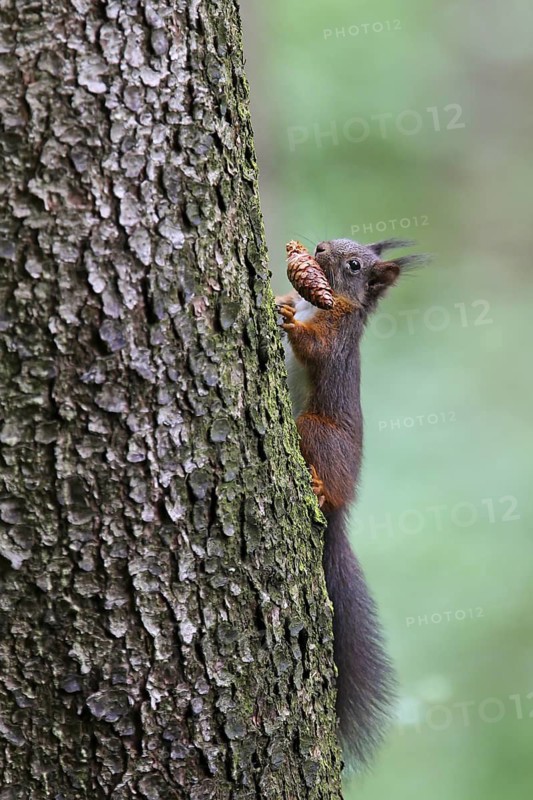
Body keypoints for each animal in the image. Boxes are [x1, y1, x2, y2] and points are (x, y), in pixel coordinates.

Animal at [276, 237, 428, 767]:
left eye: (355, 265)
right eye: (335, 244)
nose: (318, 246)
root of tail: (342, 507)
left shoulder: (335, 336)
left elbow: (315, 347)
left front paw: (287, 318)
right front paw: (279, 298)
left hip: (313, 432)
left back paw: (321, 489)